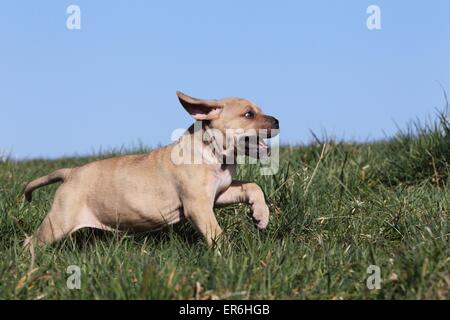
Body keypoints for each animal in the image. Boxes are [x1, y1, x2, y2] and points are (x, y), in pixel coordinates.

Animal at [24, 91, 280, 246]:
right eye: (248, 114)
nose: (278, 121)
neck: (213, 152)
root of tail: (70, 172)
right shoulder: (197, 205)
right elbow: (215, 232)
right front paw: (228, 253)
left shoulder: (220, 193)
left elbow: (252, 186)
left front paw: (260, 215)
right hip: (59, 221)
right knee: (32, 242)